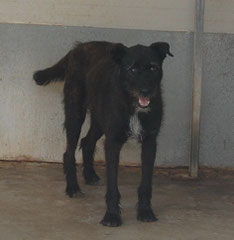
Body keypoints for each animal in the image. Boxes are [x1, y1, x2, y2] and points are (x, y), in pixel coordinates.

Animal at [33, 41, 173, 227]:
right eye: (132, 69)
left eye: (153, 67)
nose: (145, 91)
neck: (132, 105)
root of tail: (77, 47)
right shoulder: (113, 142)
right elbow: (112, 185)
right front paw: (112, 216)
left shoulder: (150, 142)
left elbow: (146, 183)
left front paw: (145, 211)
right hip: (75, 113)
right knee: (68, 152)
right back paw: (73, 188)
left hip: (99, 120)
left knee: (86, 142)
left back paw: (90, 176)